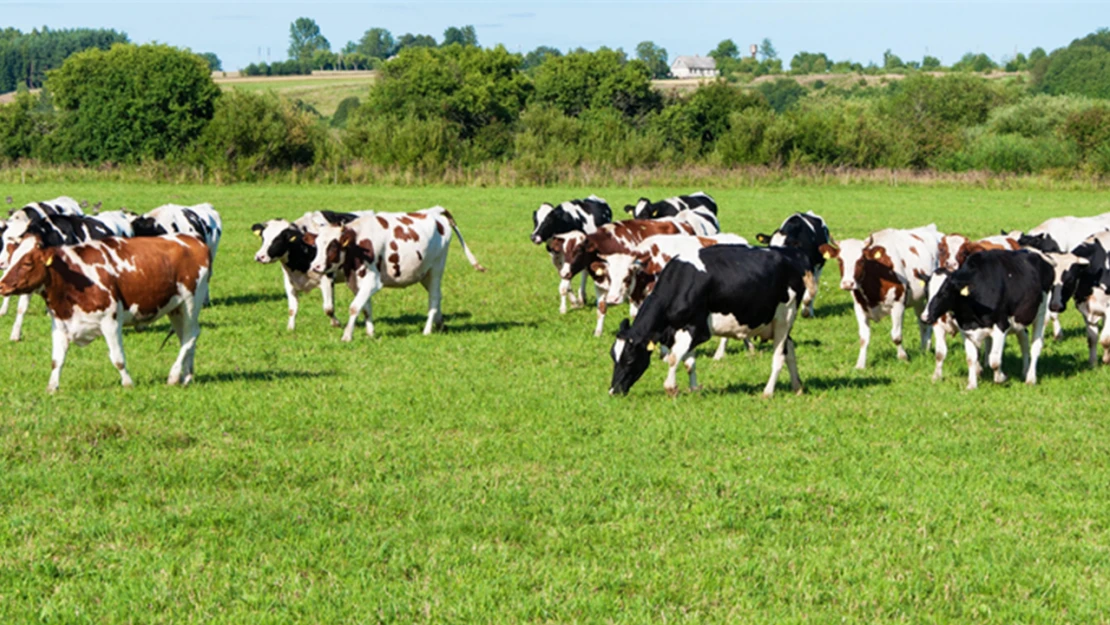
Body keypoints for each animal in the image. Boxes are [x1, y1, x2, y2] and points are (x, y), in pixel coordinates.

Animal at [0, 232, 210, 392]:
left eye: (27, 263)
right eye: (11, 259)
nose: (2, 285)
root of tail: (193, 240)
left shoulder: (110, 321)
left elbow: (118, 358)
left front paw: (128, 384)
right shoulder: (60, 324)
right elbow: (56, 360)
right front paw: (52, 388)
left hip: (191, 302)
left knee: (191, 335)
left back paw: (174, 376)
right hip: (176, 308)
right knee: (185, 338)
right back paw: (187, 376)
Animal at [310, 206, 488, 341]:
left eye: (333, 246)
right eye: (317, 245)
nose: (315, 267)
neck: (358, 243)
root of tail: (435, 211)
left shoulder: (373, 281)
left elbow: (354, 307)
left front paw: (347, 336)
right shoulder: (356, 281)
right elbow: (365, 308)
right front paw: (370, 333)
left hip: (437, 268)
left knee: (434, 298)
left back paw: (427, 330)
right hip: (424, 273)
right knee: (437, 295)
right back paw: (440, 324)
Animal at [608, 245, 816, 399]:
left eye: (629, 359)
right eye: (613, 357)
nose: (613, 391)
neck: (682, 282)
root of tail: (794, 254)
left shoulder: (698, 330)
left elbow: (675, 358)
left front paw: (671, 388)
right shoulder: (682, 330)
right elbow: (688, 363)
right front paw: (694, 389)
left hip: (785, 316)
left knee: (779, 356)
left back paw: (768, 392)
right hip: (774, 323)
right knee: (790, 350)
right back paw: (797, 387)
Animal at [821, 225, 941, 368]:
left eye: (861, 260)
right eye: (839, 260)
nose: (847, 284)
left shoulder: (898, 305)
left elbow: (896, 336)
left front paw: (903, 358)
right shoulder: (859, 308)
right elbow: (863, 338)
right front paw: (860, 364)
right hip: (918, 300)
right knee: (922, 321)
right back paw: (925, 348)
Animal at [919, 250, 1056, 390]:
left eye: (944, 293)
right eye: (926, 292)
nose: (924, 317)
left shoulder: (1001, 325)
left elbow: (994, 360)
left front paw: (1000, 378)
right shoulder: (966, 329)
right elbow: (969, 358)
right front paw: (971, 385)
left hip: (1041, 314)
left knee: (1035, 346)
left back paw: (1031, 378)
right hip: (1020, 318)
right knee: (1024, 339)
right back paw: (1025, 371)